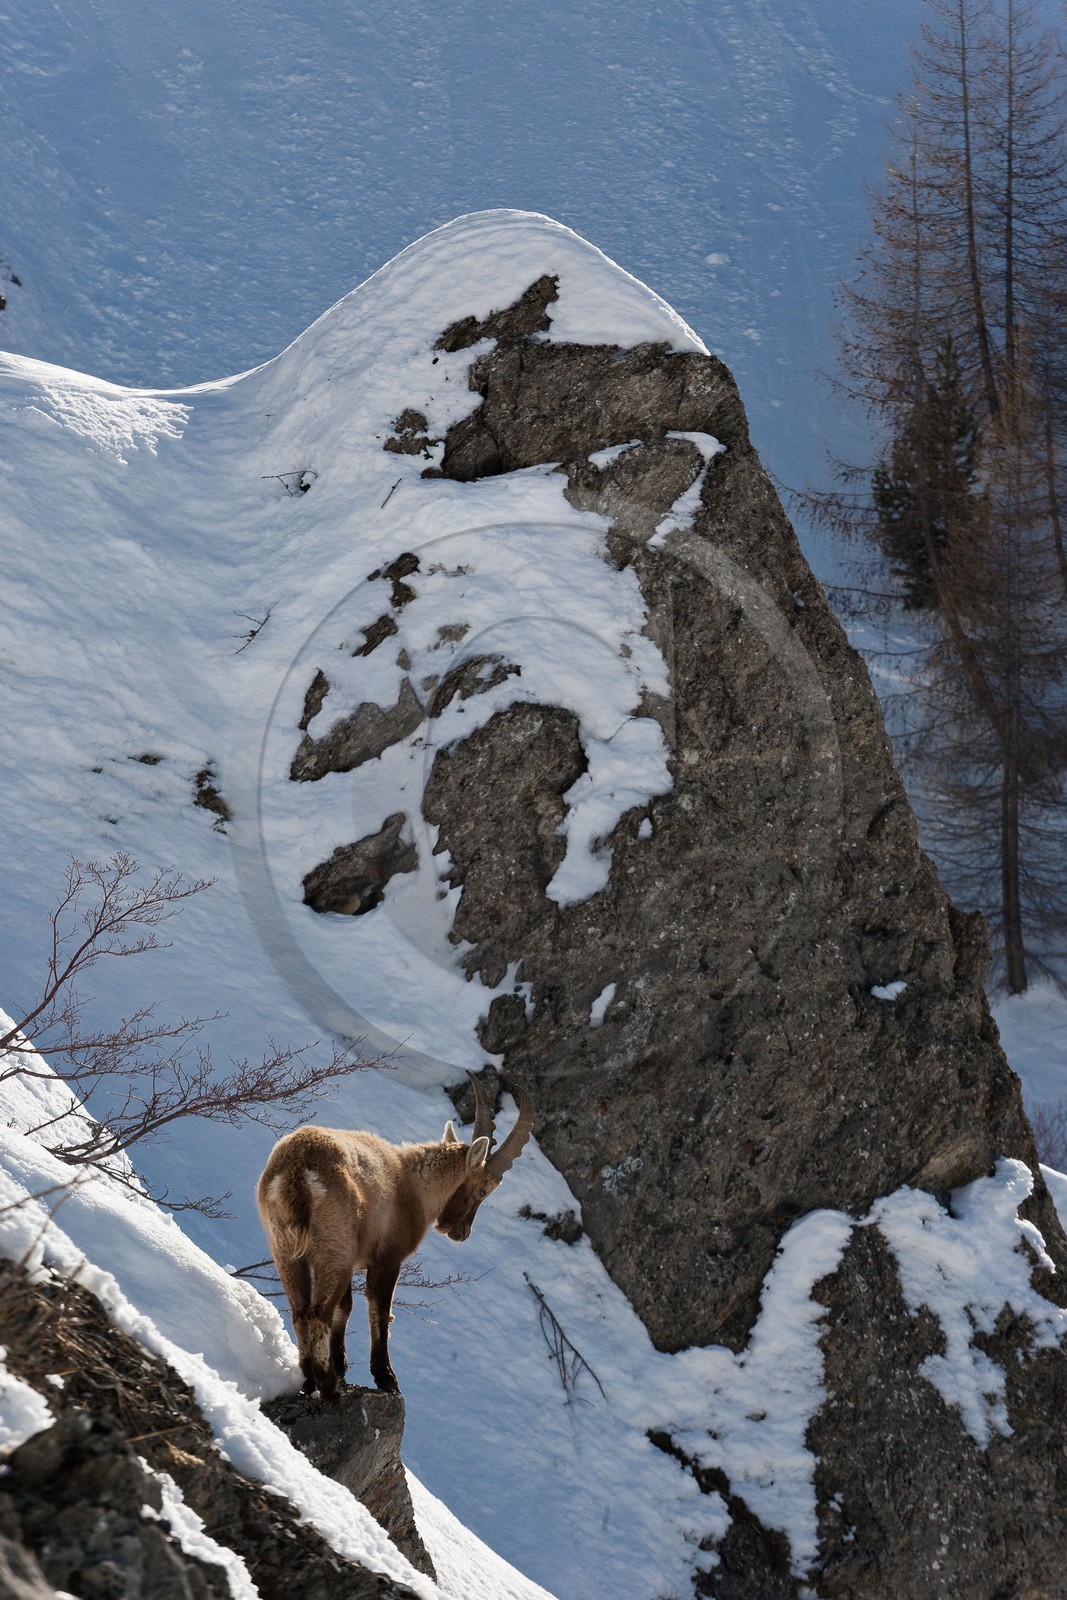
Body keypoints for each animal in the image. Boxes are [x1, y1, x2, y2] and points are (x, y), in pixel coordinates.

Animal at [257, 1072, 533, 1397]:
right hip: (334, 1250)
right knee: (318, 1314)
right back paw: (328, 1388)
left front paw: (343, 1366)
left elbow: (345, 1308)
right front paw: (386, 1377)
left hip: (285, 1249)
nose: (461, 1232)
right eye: (483, 1190)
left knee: (301, 1311)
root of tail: (298, 1172)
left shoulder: (354, 1260)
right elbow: (380, 1311)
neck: (414, 1186)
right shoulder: (388, 1258)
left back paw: (310, 1379)